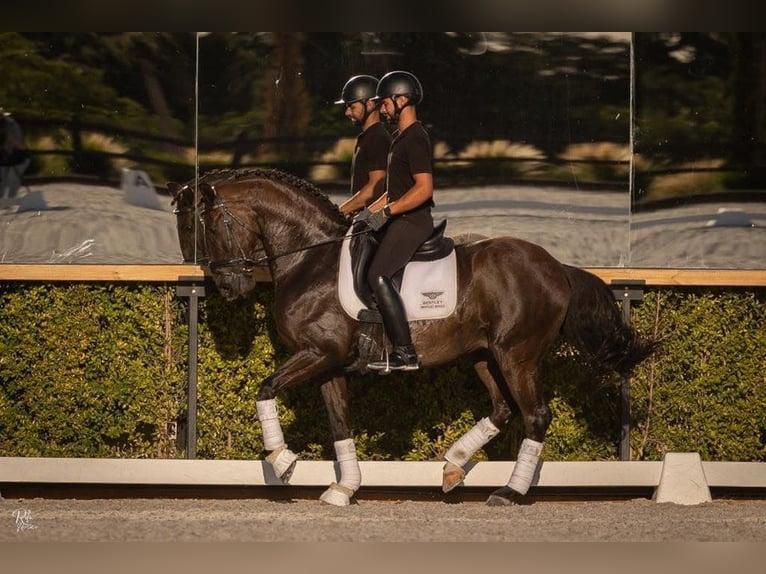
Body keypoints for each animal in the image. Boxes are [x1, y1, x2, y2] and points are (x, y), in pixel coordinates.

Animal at [171, 168, 656, 508]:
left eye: (207, 228)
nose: (230, 288)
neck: (309, 259)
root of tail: (558, 268)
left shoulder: (317, 352)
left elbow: (265, 388)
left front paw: (282, 461)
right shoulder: (328, 363)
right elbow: (339, 424)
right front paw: (344, 489)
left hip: (517, 356)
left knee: (535, 415)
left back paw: (508, 492)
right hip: (485, 355)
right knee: (502, 408)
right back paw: (454, 466)